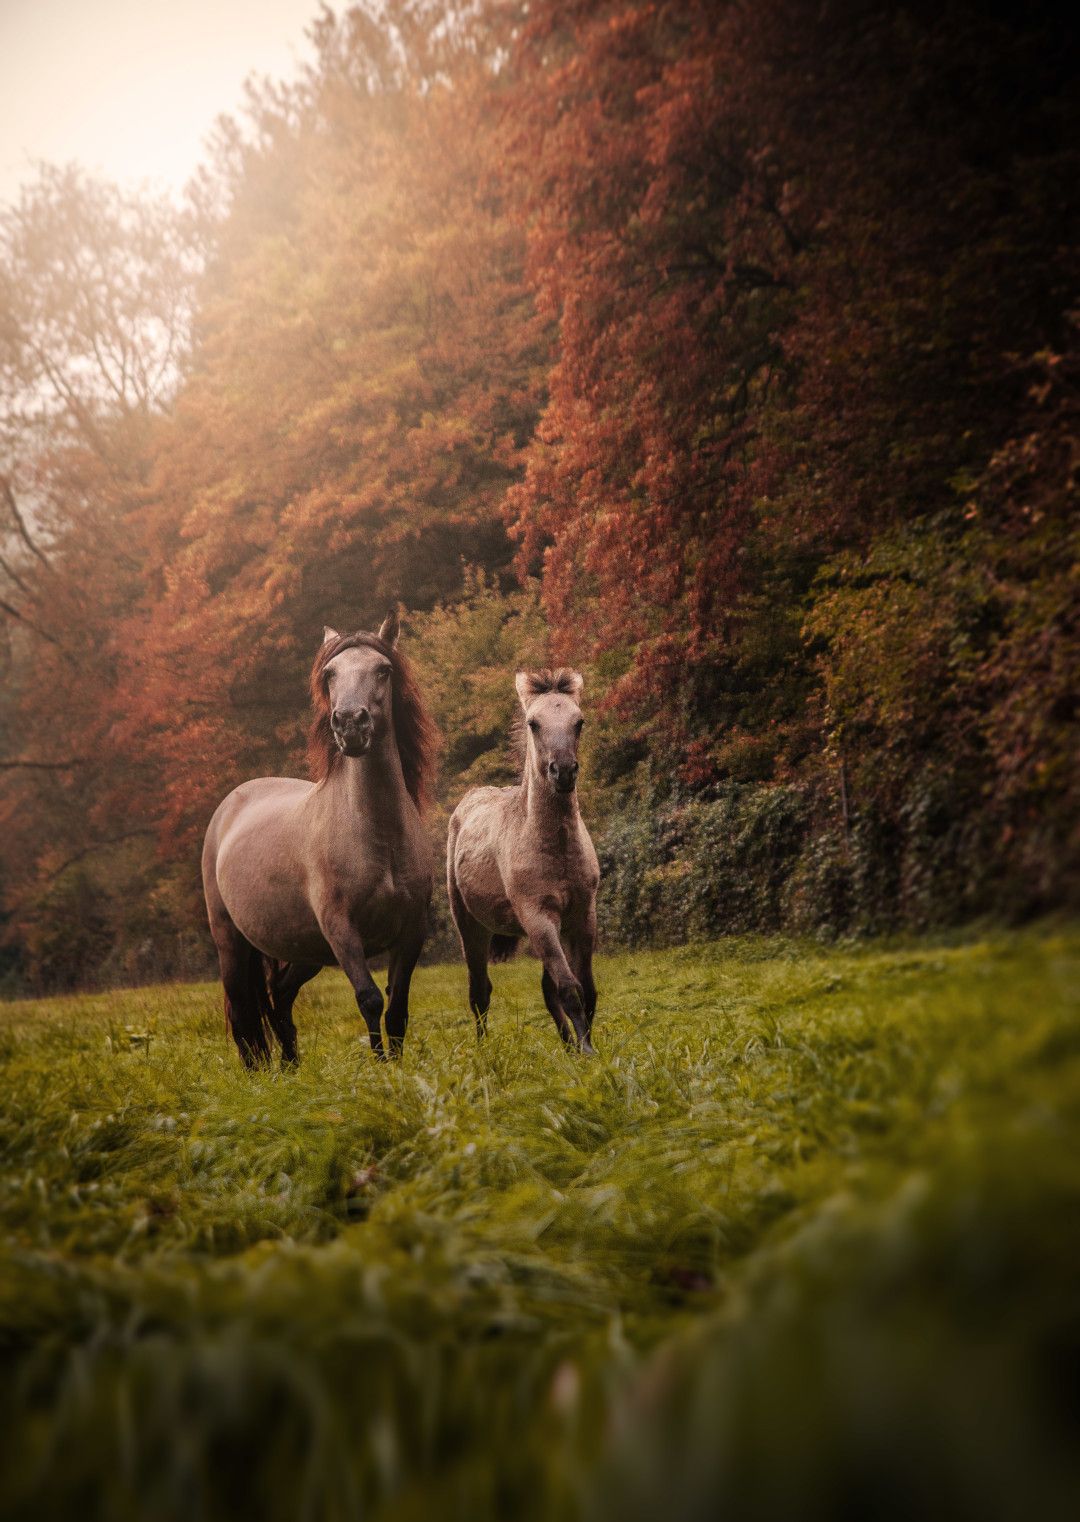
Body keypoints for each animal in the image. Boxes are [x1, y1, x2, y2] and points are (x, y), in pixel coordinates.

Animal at [201, 611, 437, 1066]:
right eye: (330, 674)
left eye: (383, 670)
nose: (349, 724)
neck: (378, 835)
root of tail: (229, 806)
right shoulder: (341, 930)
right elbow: (369, 1000)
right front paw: (380, 1067)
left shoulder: (412, 930)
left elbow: (397, 1007)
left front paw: (397, 1067)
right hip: (231, 943)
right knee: (242, 1011)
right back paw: (260, 1073)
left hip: (304, 950)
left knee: (280, 995)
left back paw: (292, 1066)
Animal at [446, 668, 599, 1053]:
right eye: (534, 723)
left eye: (579, 722)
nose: (564, 771)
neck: (556, 849)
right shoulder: (537, 916)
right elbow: (569, 988)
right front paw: (587, 1051)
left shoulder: (582, 914)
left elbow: (586, 989)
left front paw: (586, 1047)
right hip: (471, 926)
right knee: (479, 990)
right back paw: (484, 1048)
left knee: (546, 989)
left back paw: (567, 1045)